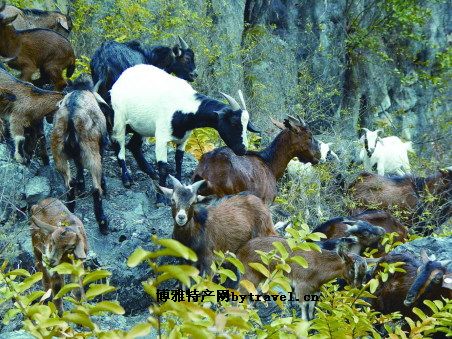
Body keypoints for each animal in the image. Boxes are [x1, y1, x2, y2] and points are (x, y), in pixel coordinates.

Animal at [51, 78, 109, 235]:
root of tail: (70, 120)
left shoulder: (76, 155)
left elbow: (78, 165)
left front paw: (81, 188)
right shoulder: (100, 145)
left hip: (59, 155)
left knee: (69, 183)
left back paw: (69, 211)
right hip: (91, 152)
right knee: (95, 189)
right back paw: (103, 223)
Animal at [110, 64, 260, 205]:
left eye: (247, 125)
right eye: (234, 122)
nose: (243, 149)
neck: (183, 106)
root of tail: (124, 75)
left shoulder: (183, 138)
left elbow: (179, 160)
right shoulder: (161, 138)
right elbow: (163, 167)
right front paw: (160, 199)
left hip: (140, 126)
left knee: (133, 144)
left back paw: (150, 171)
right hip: (119, 118)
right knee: (118, 144)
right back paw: (126, 178)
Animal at [237, 236, 368, 322]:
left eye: (364, 272)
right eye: (352, 269)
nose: (357, 286)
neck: (319, 265)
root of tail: (241, 250)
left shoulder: (315, 289)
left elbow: (312, 308)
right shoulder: (302, 287)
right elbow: (304, 308)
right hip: (250, 275)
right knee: (242, 292)